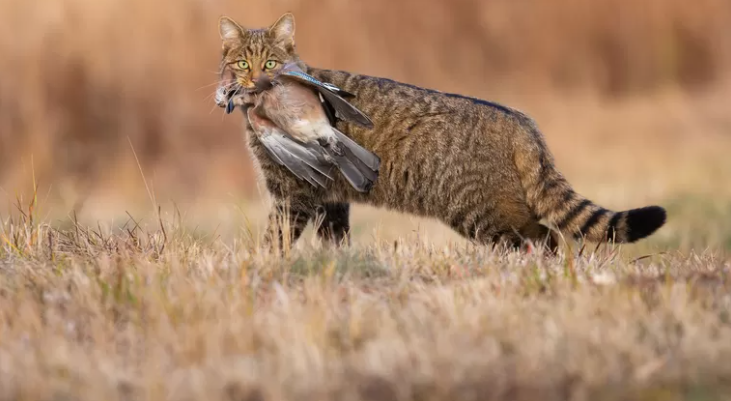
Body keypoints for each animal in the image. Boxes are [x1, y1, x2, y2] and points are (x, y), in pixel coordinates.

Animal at [214, 13, 668, 253]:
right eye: (242, 64)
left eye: (271, 64)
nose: (255, 81)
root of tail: (520, 120)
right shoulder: (330, 200)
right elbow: (335, 242)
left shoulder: (293, 195)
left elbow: (275, 238)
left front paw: (267, 265)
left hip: (481, 213)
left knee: (545, 237)